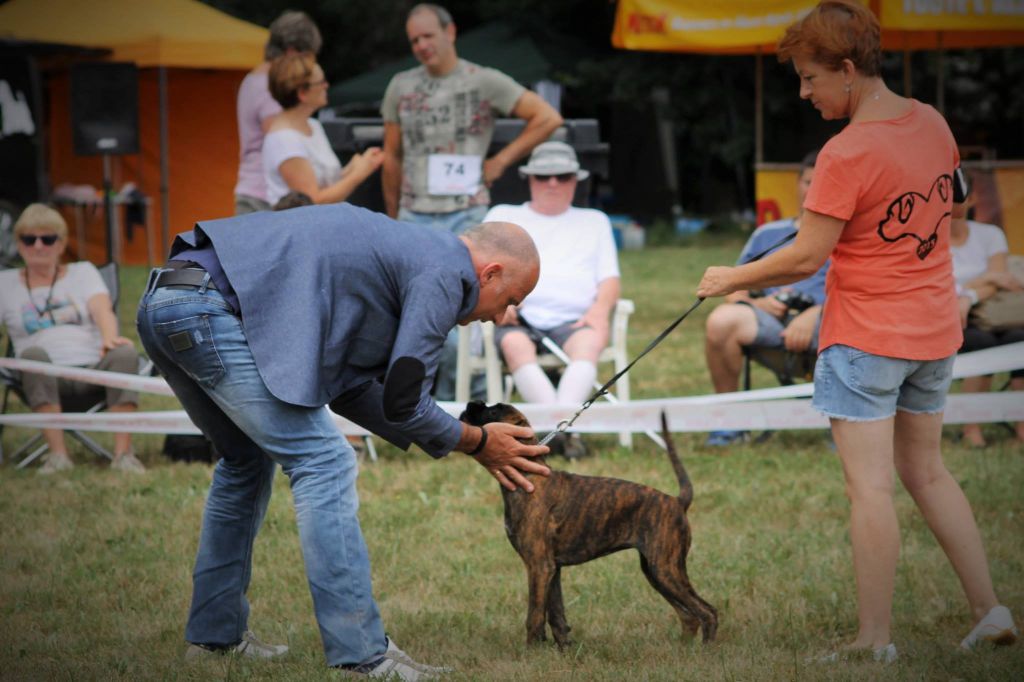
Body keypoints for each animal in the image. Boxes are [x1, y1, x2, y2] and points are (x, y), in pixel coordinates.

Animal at [460, 401, 716, 647]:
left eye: (493, 411)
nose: (472, 402)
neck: (528, 475)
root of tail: (676, 501)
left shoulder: (539, 566)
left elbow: (534, 616)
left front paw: (529, 654)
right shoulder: (552, 570)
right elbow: (556, 615)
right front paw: (563, 650)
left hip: (666, 569)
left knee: (707, 612)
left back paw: (707, 650)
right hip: (656, 571)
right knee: (689, 615)